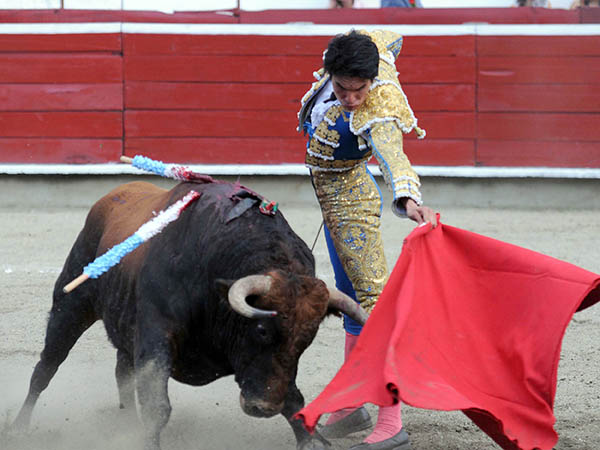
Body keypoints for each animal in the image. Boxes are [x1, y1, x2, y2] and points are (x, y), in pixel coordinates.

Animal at [12, 179, 367, 450]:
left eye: (306, 340)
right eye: (262, 329)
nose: (262, 408)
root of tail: (113, 195)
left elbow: (294, 399)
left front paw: (311, 439)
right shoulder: (156, 334)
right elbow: (157, 406)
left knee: (122, 370)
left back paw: (125, 422)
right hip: (70, 307)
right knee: (45, 369)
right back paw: (19, 427)